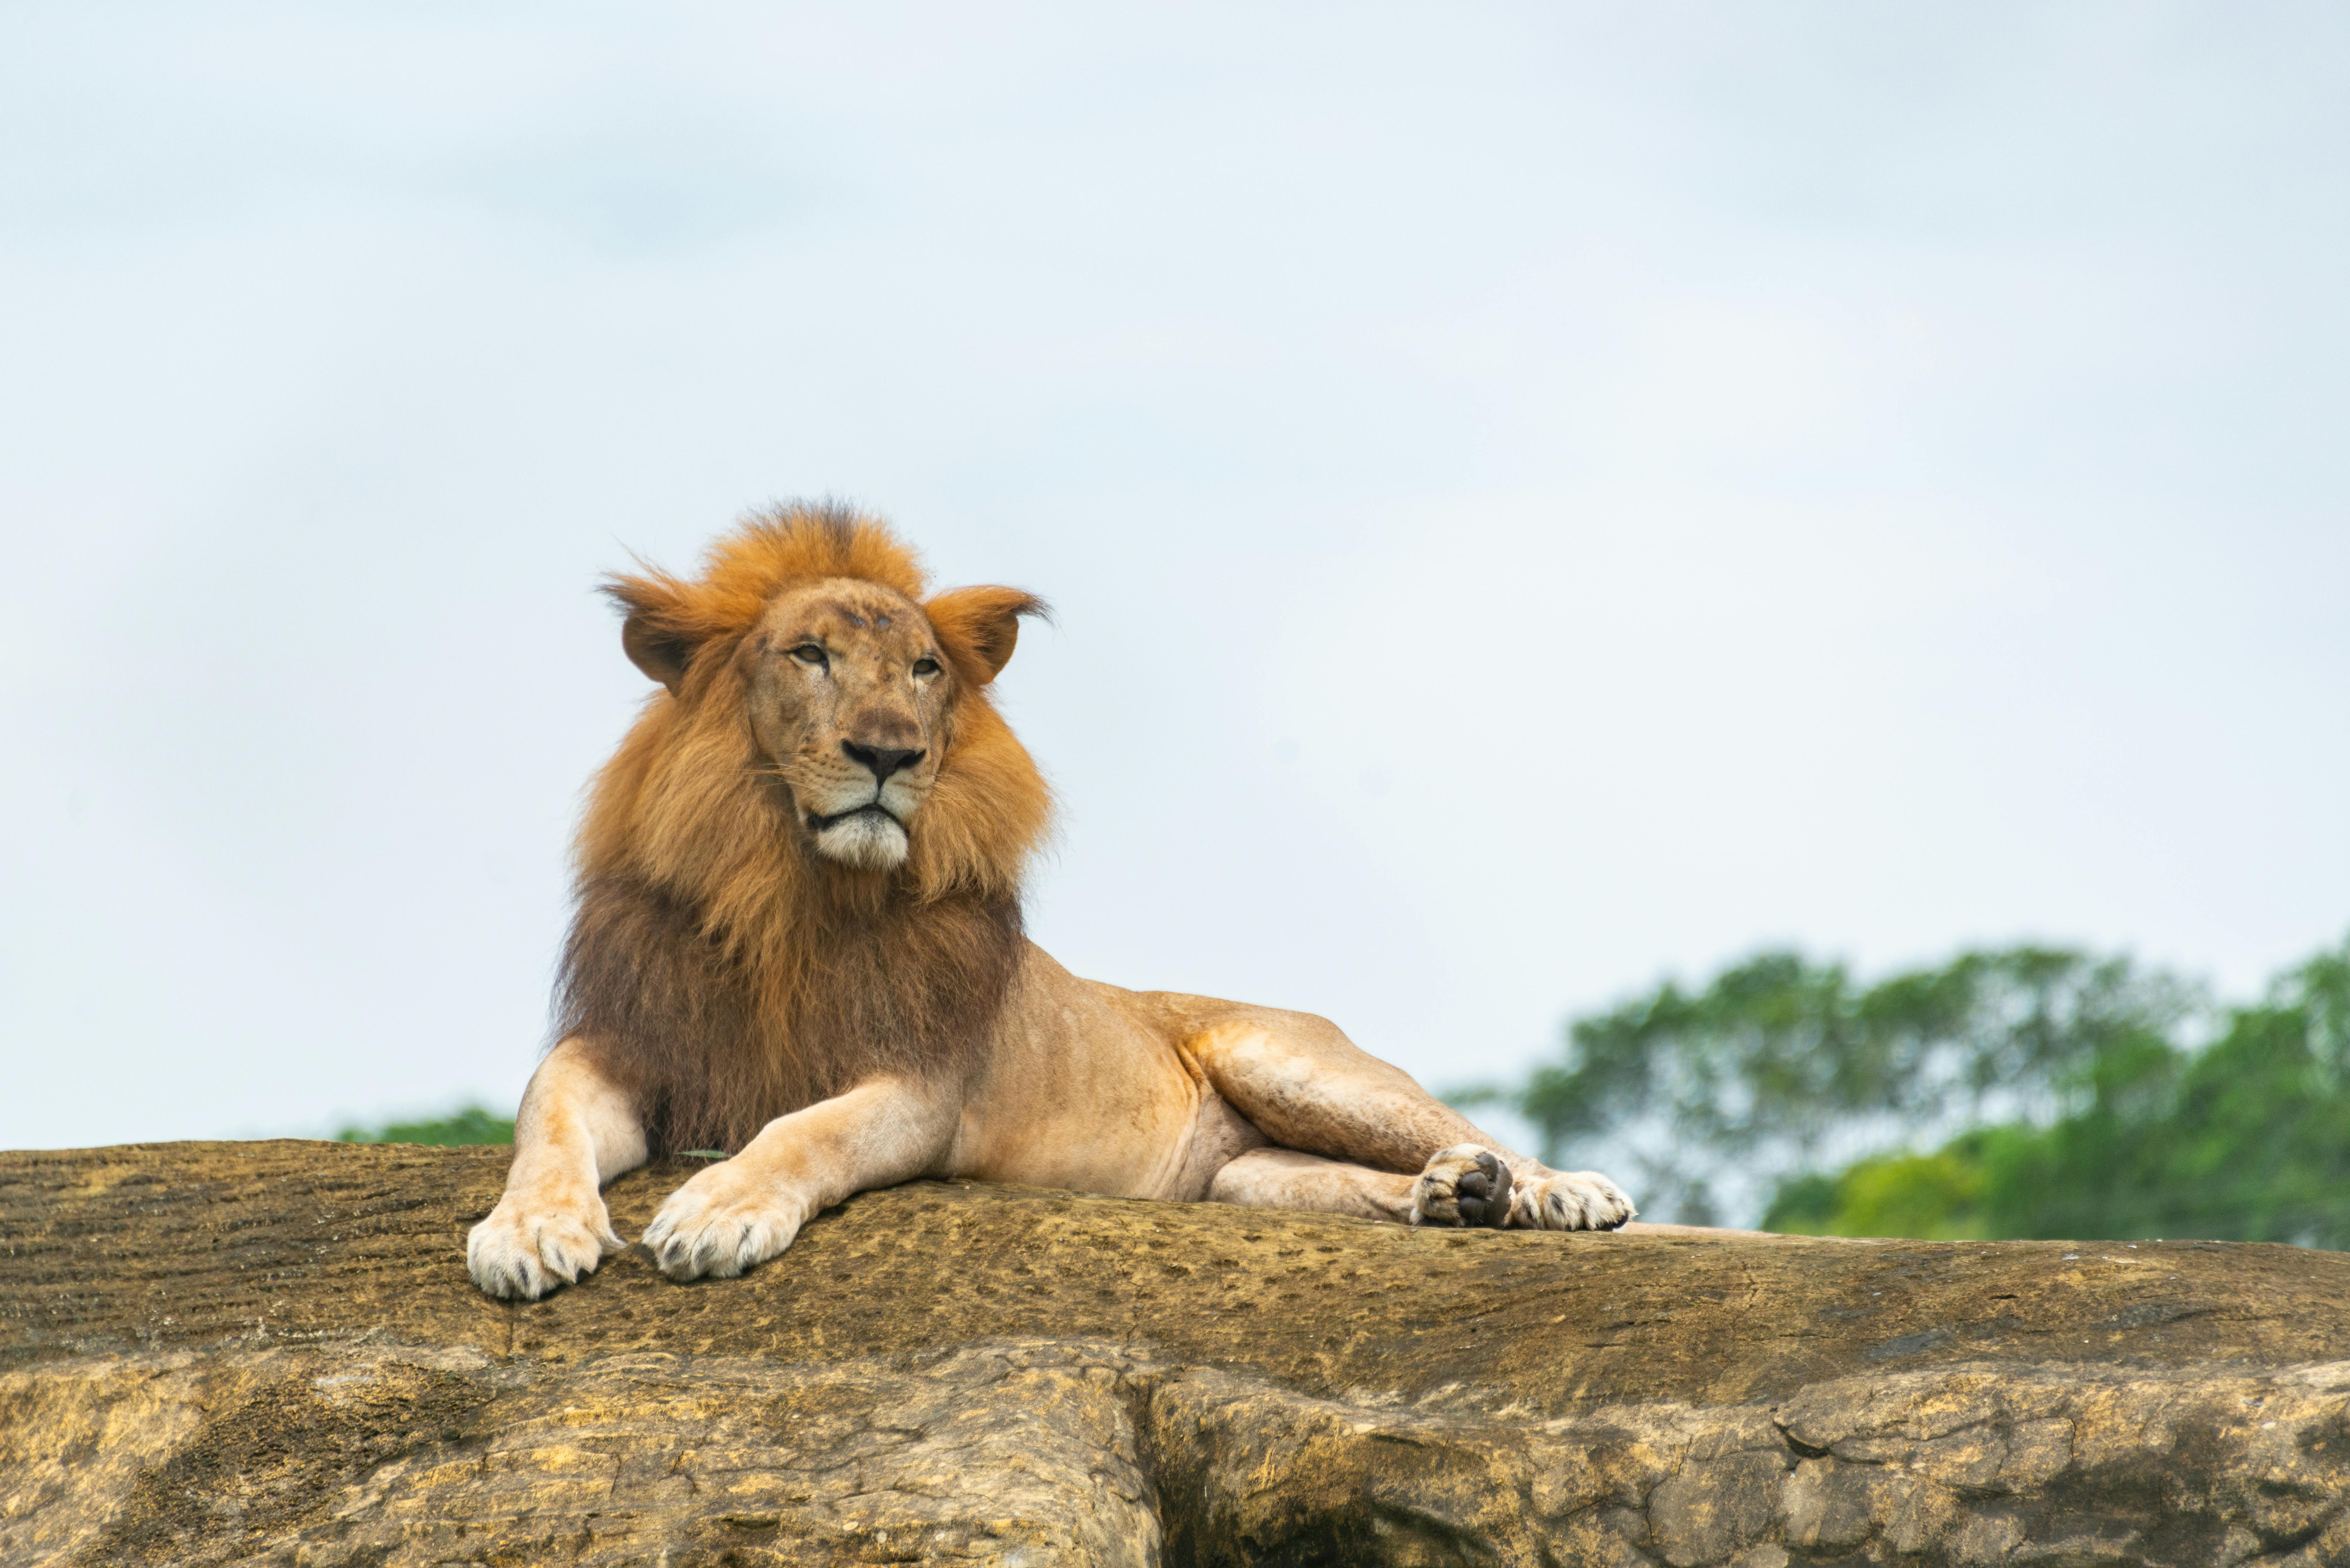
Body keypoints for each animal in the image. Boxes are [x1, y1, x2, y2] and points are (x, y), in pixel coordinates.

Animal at [468, 502, 1634, 1299]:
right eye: (810, 654)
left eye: (925, 670)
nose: (889, 755)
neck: (791, 891)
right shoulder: (631, 1042)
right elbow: (547, 1118)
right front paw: (527, 1232)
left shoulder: (922, 1083)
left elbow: (807, 1132)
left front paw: (717, 1209)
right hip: (1243, 1181)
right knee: (1346, 1183)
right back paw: (1455, 1195)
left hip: (1287, 1059)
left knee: (1461, 1128)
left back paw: (1554, 1189)